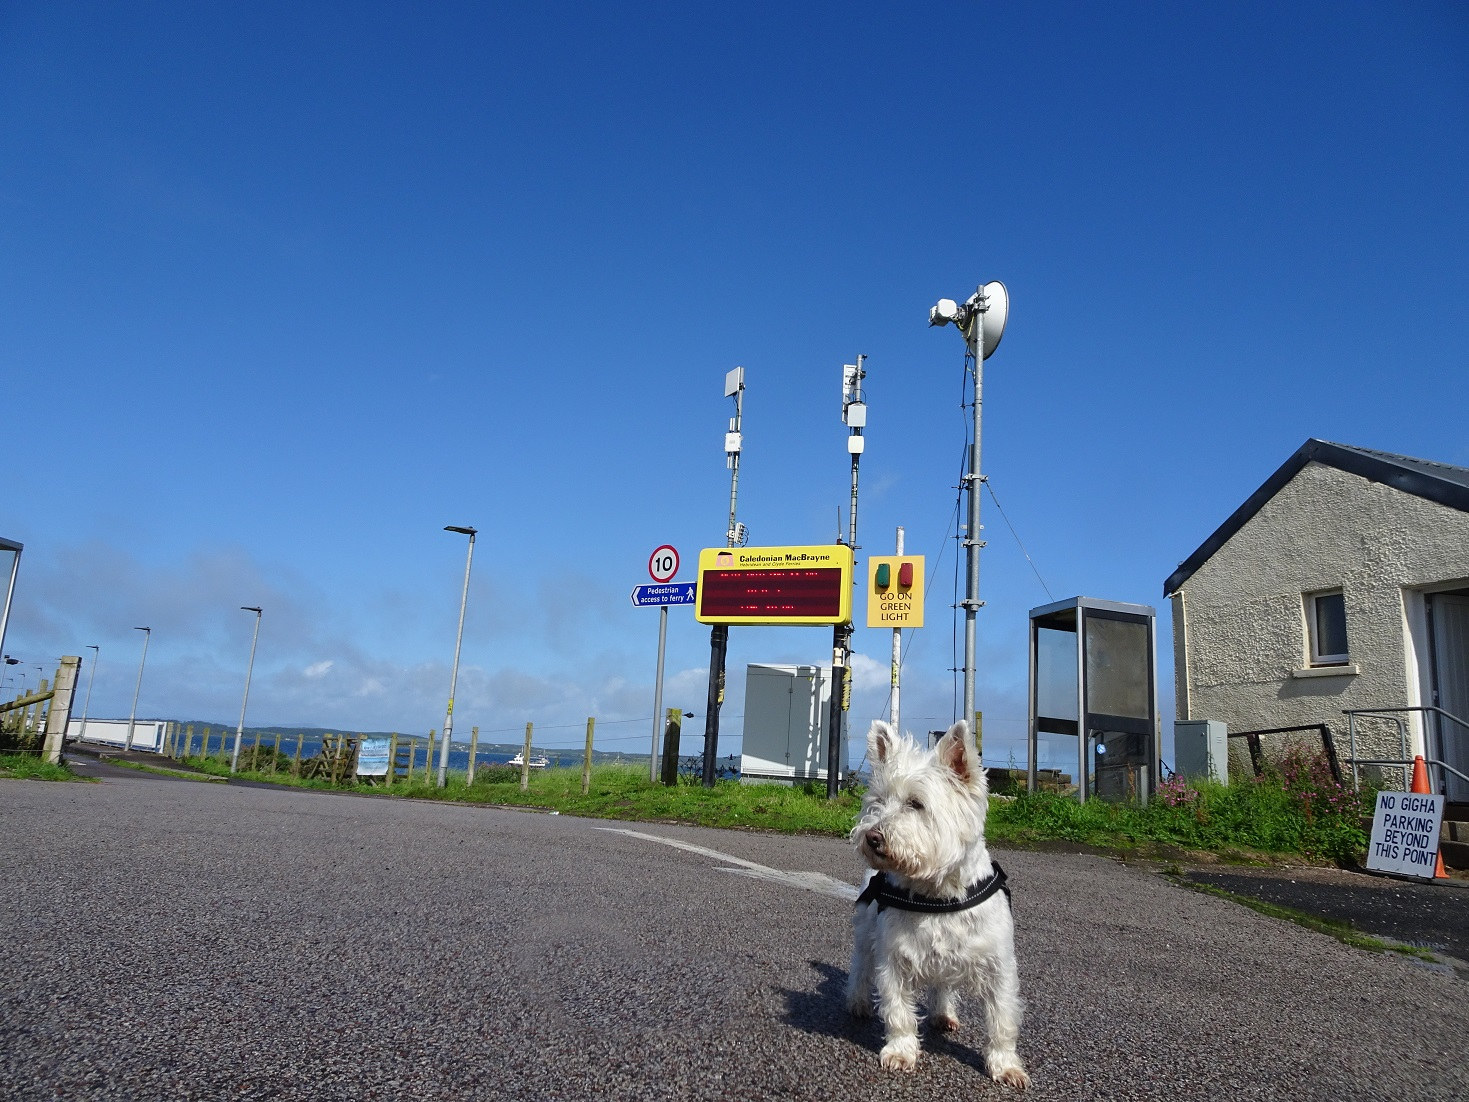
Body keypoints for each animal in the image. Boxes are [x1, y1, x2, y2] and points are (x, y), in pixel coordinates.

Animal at [846, 719, 1028, 1093]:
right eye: (878, 801)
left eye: (916, 804)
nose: (872, 837)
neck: (937, 895)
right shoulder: (893, 958)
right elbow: (898, 1010)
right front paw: (901, 1052)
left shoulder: (999, 966)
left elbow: (1002, 1019)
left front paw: (1006, 1066)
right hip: (866, 930)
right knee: (860, 963)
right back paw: (857, 1002)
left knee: (943, 984)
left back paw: (943, 1015)